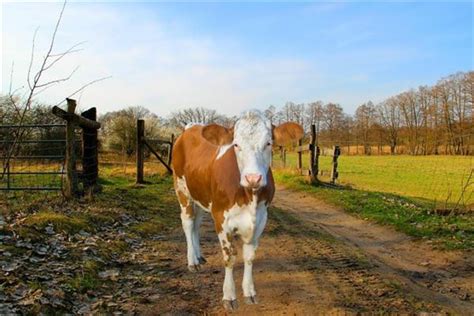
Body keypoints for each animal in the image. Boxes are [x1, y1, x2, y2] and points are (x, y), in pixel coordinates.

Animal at [172, 111, 302, 312]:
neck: (250, 197)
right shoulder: (221, 219)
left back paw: (199, 256)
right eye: (236, 144)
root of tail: (191, 127)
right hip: (181, 189)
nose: (253, 178)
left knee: (196, 224)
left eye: (268, 143)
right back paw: (192, 261)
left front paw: (250, 292)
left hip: (201, 196)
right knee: (187, 223)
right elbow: (229, 258)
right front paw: (229, 296)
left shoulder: (261, 219)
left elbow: (249, 257)